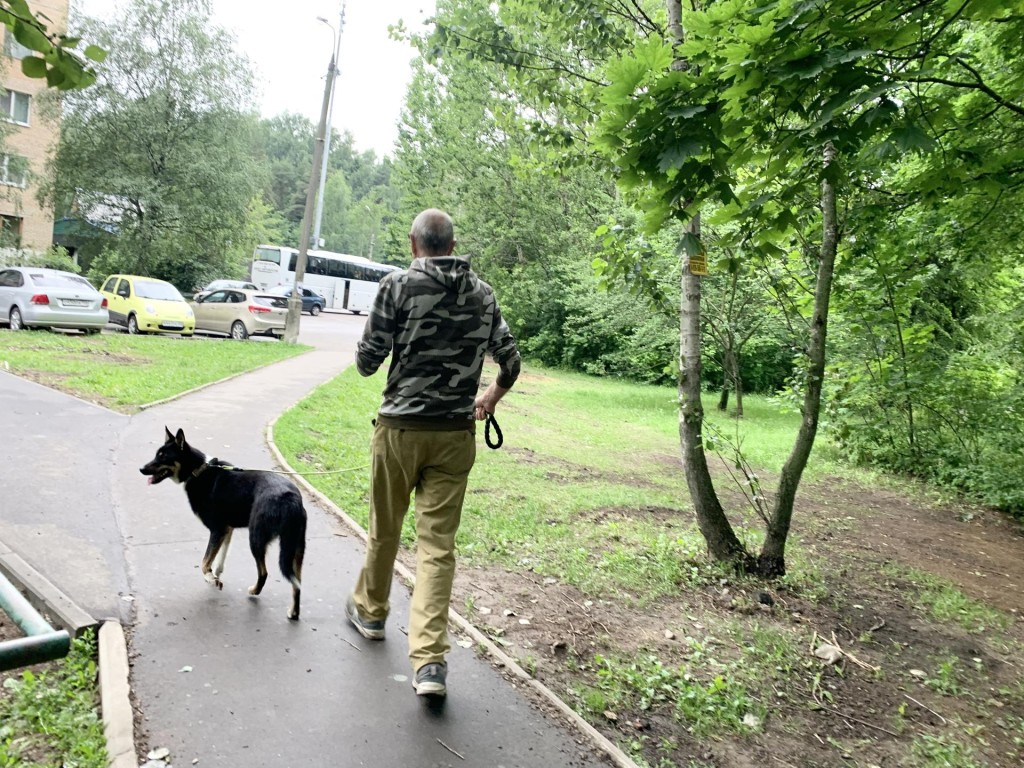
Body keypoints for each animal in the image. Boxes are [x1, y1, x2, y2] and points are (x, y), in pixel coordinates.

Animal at [140, 430, 307, 622]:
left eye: (163, 456)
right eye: (156, 454)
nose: (141, 469)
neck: (198, 471)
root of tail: (290, 498)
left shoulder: (217, 529)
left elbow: (204, 562)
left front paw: (211, 578)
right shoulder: (226, 529)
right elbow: (219, 558)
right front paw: (214, 576)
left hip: (256, 539)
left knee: (264, 572)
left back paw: (254, 591)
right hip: (296, 548)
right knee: (297, 583)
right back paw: (294, 612)